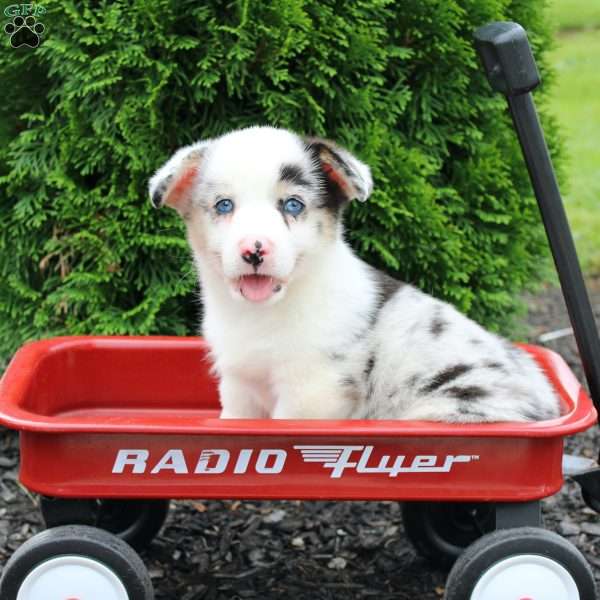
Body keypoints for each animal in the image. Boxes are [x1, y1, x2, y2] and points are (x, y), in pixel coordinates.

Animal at [148, 126, 560, 422]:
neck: (262, 315)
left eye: (293, 205)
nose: (254, 250)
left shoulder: (311, 391)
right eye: (224, 205)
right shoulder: (239, 385)